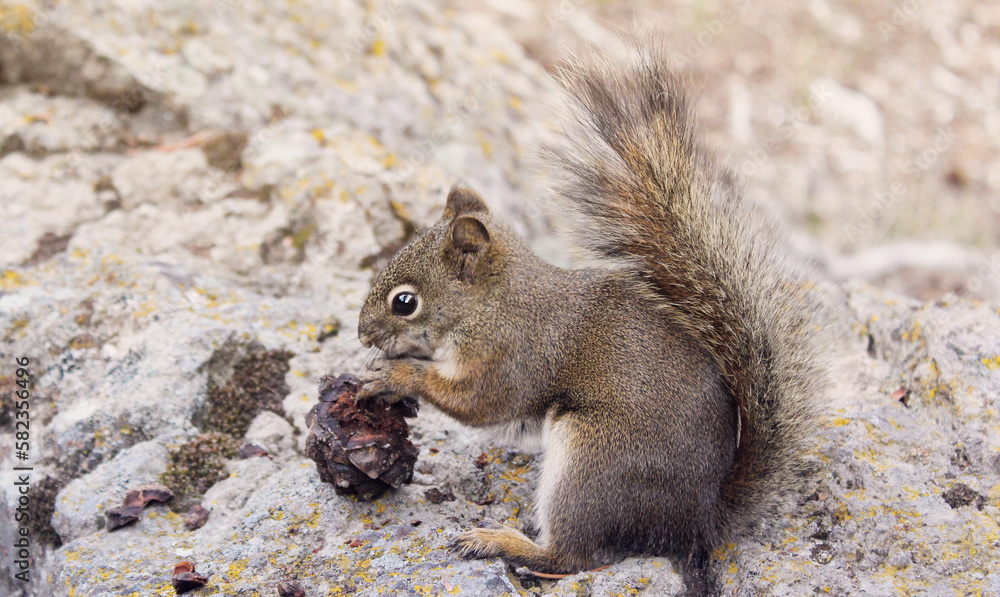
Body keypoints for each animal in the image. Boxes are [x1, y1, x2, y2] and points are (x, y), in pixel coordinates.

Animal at [356, 47, 824, 596]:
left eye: (404, 302)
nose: (361, 333)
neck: (495, 302)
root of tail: (695, 520)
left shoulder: (515, 353)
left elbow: (480, 401)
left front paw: (396, 374)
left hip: (592, 461)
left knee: (572, 555)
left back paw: (501, 542)